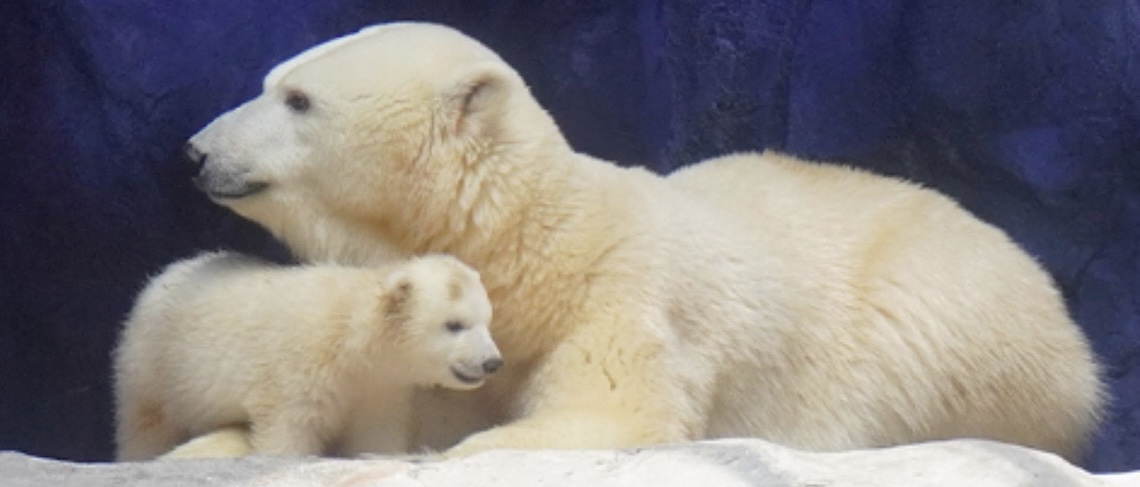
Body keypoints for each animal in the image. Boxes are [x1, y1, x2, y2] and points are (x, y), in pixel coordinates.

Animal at [184, 20, 1103, 458]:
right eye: (272, 81)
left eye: (298, 100)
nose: (195, 150)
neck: (529, 250)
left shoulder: (622, 296)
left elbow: (608, 411)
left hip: (961, 332)